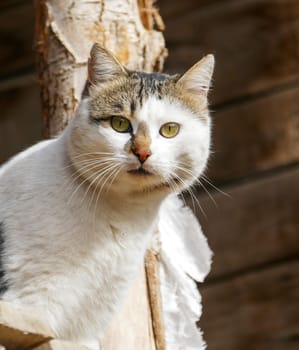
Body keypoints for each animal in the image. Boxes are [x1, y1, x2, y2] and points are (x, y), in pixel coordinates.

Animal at [0, 42, 216, 348]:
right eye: (119, 124)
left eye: (170, 129)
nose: (142, 152)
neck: (121, 213)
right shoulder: (33, 305)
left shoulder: (90, 322)